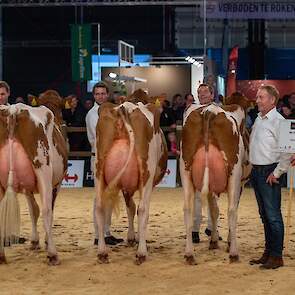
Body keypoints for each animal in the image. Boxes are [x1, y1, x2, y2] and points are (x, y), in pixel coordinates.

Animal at [0, 90, 67, 266]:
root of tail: (14, 109)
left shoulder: (26, 186)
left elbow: (32, 210)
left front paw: (35, 241)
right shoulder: (57, 183)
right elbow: (45, 210)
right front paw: (43, 241)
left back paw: (1, 256)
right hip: (43, 168)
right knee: (47, 210)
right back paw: (52, 254)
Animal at [95, 102, 168, 266]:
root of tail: (124, 107)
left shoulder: (125, 187)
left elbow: (130, 207)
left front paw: (131, 237)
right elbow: (137, 209)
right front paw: (137, 238)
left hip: (99, 170)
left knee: (100, 207)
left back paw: (102, 252)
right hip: (147, 174)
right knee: (143, 209)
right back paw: (141, 253)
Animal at [182, 102, 251, 266]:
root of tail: (209, 110)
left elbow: (214, 210)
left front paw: (213, 240)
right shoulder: (241, 184)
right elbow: (226, 210)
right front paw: (227, 242)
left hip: (185, 169)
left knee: (187, 209)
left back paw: (189, 254)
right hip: (234, 173)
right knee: (232, 210)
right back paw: (233, 253)